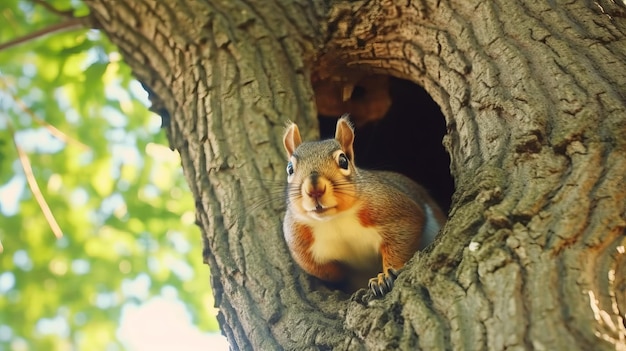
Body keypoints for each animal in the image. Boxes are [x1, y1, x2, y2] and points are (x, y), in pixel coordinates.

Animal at [278, 117, 444, 298]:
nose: (314, 188)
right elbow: (320, 269)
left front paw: (383, 278)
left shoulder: (395, 211)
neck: (335, 220)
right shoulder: (299, 241)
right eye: (289, 168)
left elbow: (403, 241)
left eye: (343, 160)